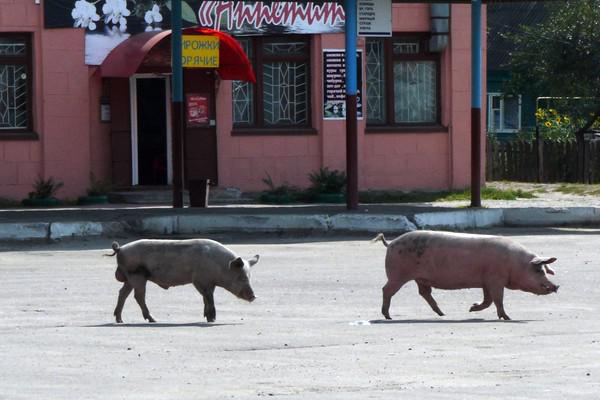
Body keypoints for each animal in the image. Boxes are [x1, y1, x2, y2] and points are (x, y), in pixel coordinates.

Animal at [108, 239, 258, 324]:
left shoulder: (209, 283)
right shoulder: (200, 280)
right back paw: (153, 320)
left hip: (130, 278)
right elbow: (209, 298)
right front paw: (212, 320)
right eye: (241, 277)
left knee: (123, 293)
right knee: (138, 296)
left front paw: (207, 317)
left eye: (249, 276)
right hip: (137, 276)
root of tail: (120, 248)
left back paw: (120, 320)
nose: (254, 296)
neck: (220, 265)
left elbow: (206, 299)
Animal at [372, 230, 560, 320]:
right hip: (397, 274)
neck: (515, 263)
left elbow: (488, 300)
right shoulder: (495, 279)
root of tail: (390, 243)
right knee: (386, 290)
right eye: (538, 270)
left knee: (424, 293)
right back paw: (387, 316)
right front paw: (507, 317)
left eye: (545, 270)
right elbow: (498, 299)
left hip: (420, 278)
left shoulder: (486, 281)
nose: (556, 286)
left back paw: (442, 314)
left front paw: (471, 308)